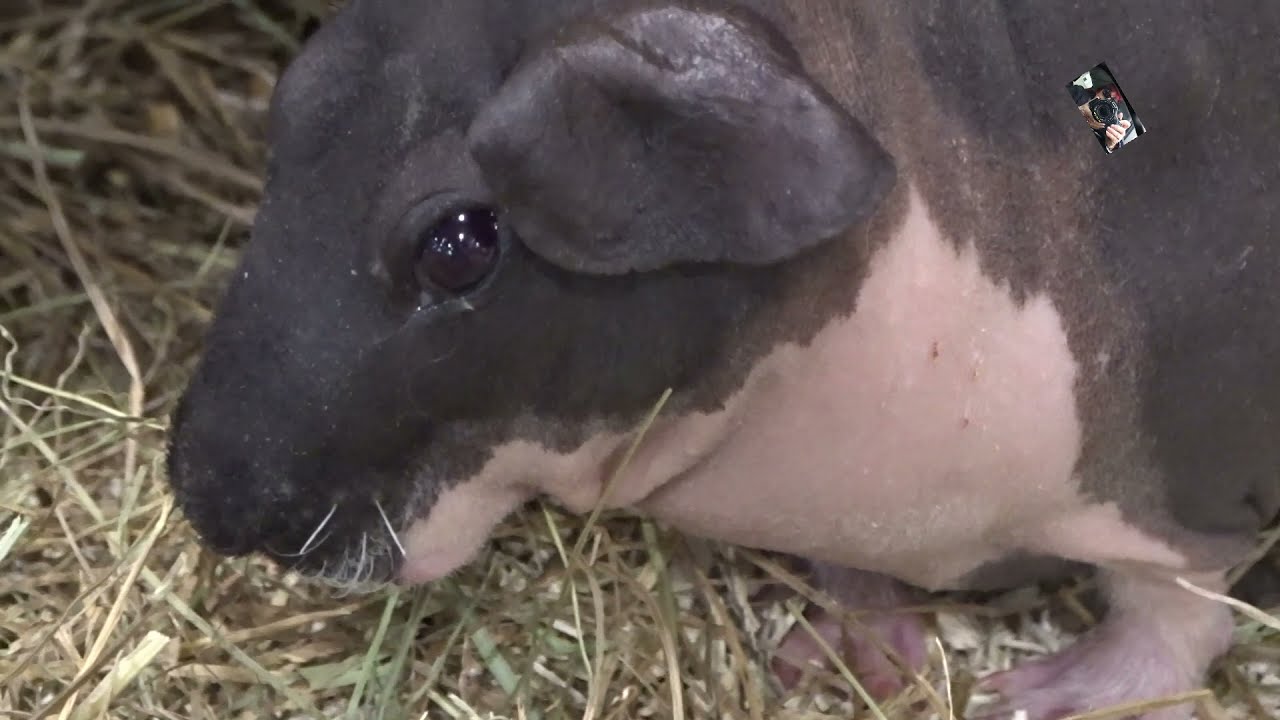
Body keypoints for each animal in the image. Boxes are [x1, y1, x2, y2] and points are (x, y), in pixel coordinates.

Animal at [164, 1, 1280, 718]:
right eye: (286, 132)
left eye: (459, 243)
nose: (210, 500)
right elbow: (853, 583)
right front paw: (830, 663)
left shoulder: (1177, 505)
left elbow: (1174, 621)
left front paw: (1030, 701)